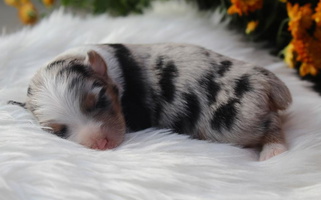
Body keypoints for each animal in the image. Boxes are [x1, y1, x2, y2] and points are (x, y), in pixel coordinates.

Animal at [20, 43, 292, 160]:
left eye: (99, 101)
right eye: (60, 132)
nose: (101, 144)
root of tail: (265, 78)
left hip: (233, 122)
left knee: (272, 123)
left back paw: (273, 151)